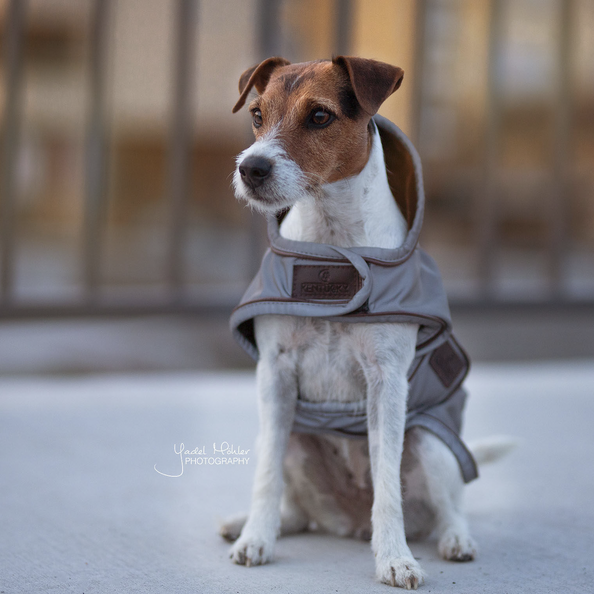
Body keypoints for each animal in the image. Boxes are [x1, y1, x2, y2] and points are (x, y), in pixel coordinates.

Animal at [220, 55, 506, 588]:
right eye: (256, 114)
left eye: (319, 116)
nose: (251, 168)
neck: (333, 249)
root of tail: (348, 523)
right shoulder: (274, 373)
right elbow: (265, 475)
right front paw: (255, 538)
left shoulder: (387, 381)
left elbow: (387, 483)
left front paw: (394, 558)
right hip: (294, 436)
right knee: (294, 505)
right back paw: (250, 523)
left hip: (431, 442)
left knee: (450, 507)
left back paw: (455, 539)